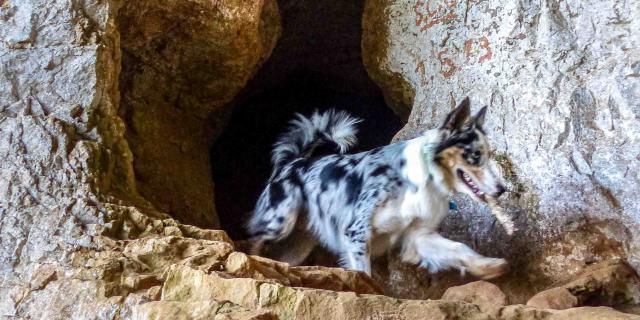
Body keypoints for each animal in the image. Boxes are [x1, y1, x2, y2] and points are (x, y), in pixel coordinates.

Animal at [249, 97, 510, 278]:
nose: (501, 189)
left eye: (488, 155)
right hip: (279, 223)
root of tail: (292, 161)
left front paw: (488, 266)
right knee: (254, 242)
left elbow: (458, 248)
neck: (422, 180)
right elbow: (364, 272)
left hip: (299, 243)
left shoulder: (419, 235)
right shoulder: (357, 230)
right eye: (475, 156)